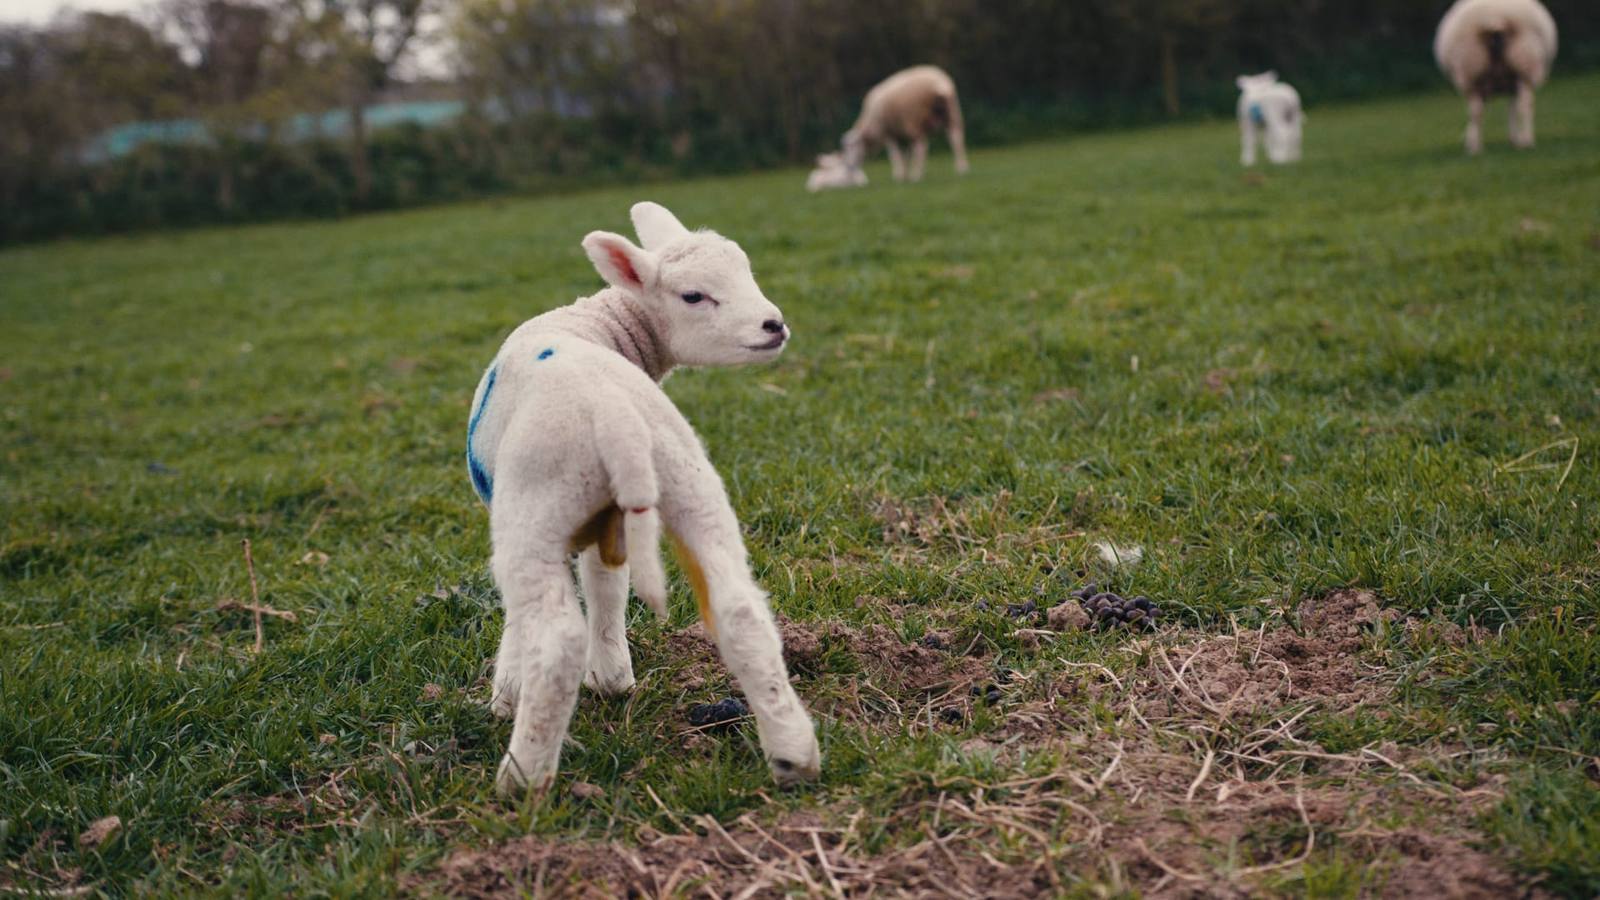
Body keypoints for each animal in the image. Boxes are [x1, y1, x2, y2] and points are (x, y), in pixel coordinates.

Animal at [465, 201, 821, 796]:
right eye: (694, 295)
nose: (773, 325)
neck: (601, 323)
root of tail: (615, 415)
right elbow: (607, 584)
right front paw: (612, 677)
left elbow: (527, 616)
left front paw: (507, 692)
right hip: (686, 477)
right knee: (739, 609)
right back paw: (794, 754)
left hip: (537, 502)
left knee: (557, 638)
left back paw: (522, 778)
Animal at [840, 65, 969, 183]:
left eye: (852, 147)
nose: (849, 166)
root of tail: (939, 85)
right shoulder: (901, 134)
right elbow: (905, 155)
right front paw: (904, 173)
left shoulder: (889, 133)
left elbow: (895, 155)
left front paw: (899, 175)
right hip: (952, 114)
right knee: (956, 140)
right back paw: (961, 169)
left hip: (916, 120)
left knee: (921, 147)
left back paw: (916, 175)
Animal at [1434, 0, 1558, 154]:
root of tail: (1495, 19)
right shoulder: (1511, 83)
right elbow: (1512, 108)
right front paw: (1514, 138)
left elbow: (1509, 108)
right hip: (1523, 66)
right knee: (1524, 105)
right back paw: (1526, 142)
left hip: (1473, 70)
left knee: (1476, 112)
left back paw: (1475, 148)